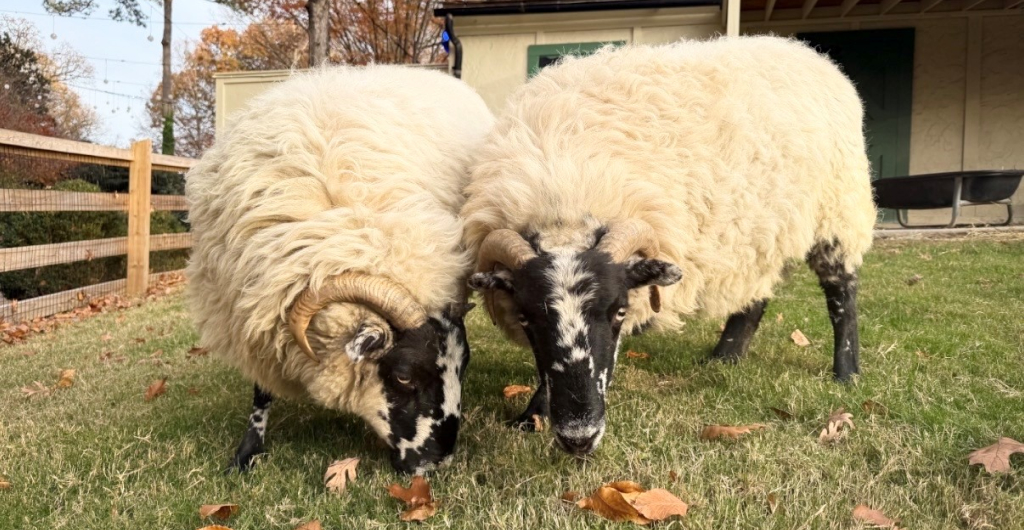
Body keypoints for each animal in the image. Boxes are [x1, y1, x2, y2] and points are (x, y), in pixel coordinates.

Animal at [185, 65, 494, 474]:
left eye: (464, 366)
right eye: (403, 376)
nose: (436, 463)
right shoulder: (255, 316)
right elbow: (261, 390)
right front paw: (247, 452)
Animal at [463, 36, 876, 455]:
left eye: (619, 312)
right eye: (525, 317)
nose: (580, 437)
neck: (566, 203)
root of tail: (812, 54)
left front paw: (536, 413)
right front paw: (531, 416)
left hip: (838, 212)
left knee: (842, 294)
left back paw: (846, 372)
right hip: (763, 230)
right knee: (756, 294)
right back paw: (725, 358)